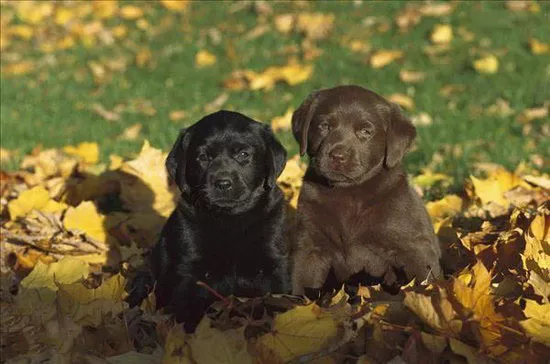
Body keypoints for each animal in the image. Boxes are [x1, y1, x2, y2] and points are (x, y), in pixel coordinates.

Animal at [131, 109, 292, 332]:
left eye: (243, 155)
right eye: (203, 157)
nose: (223, 183)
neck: (229, 219)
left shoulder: (273, 264)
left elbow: (277, 300)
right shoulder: (190, 271)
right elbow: (188, 309)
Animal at [294, 86, 444, 298]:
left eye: (365, 131)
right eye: (325, 126)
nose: (337, 156)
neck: (347, 193)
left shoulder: (416, 247)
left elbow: (425, 278)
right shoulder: (309, 247)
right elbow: (301, 284)